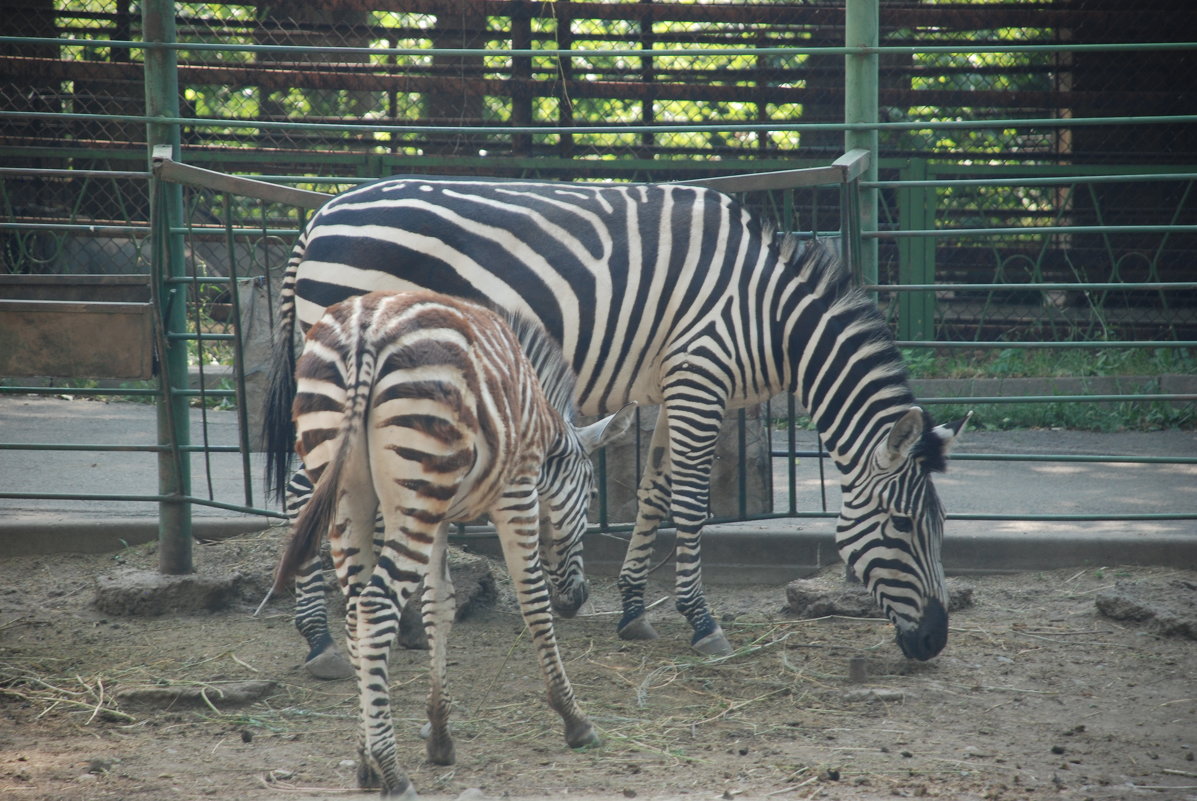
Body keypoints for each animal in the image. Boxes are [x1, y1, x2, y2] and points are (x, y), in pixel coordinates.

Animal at [266, 176, 967, 660]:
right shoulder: (700, 374)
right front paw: (702, 622)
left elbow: (654, 492)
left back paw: (402, 626)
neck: (771, 317)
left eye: (940, 525)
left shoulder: (672, 384)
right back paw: (319, 640)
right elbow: (690, 503)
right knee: (308, 488)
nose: (935, 641)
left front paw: (633, 609)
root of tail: (320, 215)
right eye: (904, 525)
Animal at [268, 290, 632, 795]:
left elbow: (439, 604)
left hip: (352, 491)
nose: (578, 598)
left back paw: (367, 764)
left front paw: (440, 737)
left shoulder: (441, 515)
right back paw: (393, 773)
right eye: (594, 494)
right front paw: (575, 720)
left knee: (356, 611)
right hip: (416, 483)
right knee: (375, 607)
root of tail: (366, 330)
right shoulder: (518, 491)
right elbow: (533, 601)